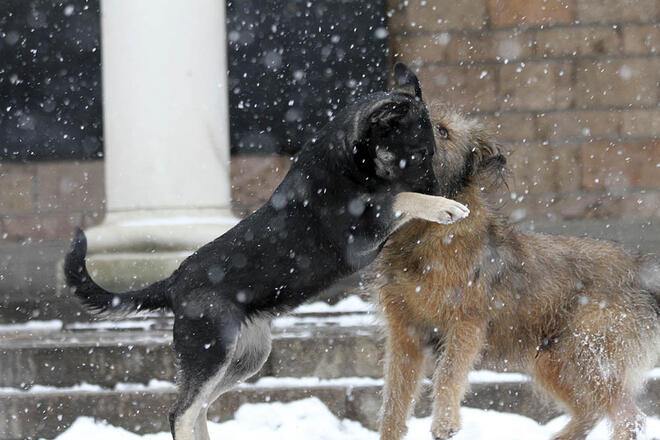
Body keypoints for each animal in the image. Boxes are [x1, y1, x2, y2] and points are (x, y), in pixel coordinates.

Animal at [64, 62, 466, 440]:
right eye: (418, 154)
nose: (444, 189)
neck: (351, 162)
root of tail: (173, 282)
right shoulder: (360, 234)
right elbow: (401, 197)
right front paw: (444, 208)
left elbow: (398, 198)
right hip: (210, 352)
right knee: (180, 412)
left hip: (246, 358)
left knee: (200, 407)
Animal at [374, 104, 656, 440]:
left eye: (443, 131)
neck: (425, 233)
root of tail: (640, 270)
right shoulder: (405, 332)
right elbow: (394, 399)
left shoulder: (466, 323)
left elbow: (448, 373)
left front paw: (445, 422)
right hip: (553, 360)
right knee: (590, 410)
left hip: (592, 353)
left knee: (629, 417)